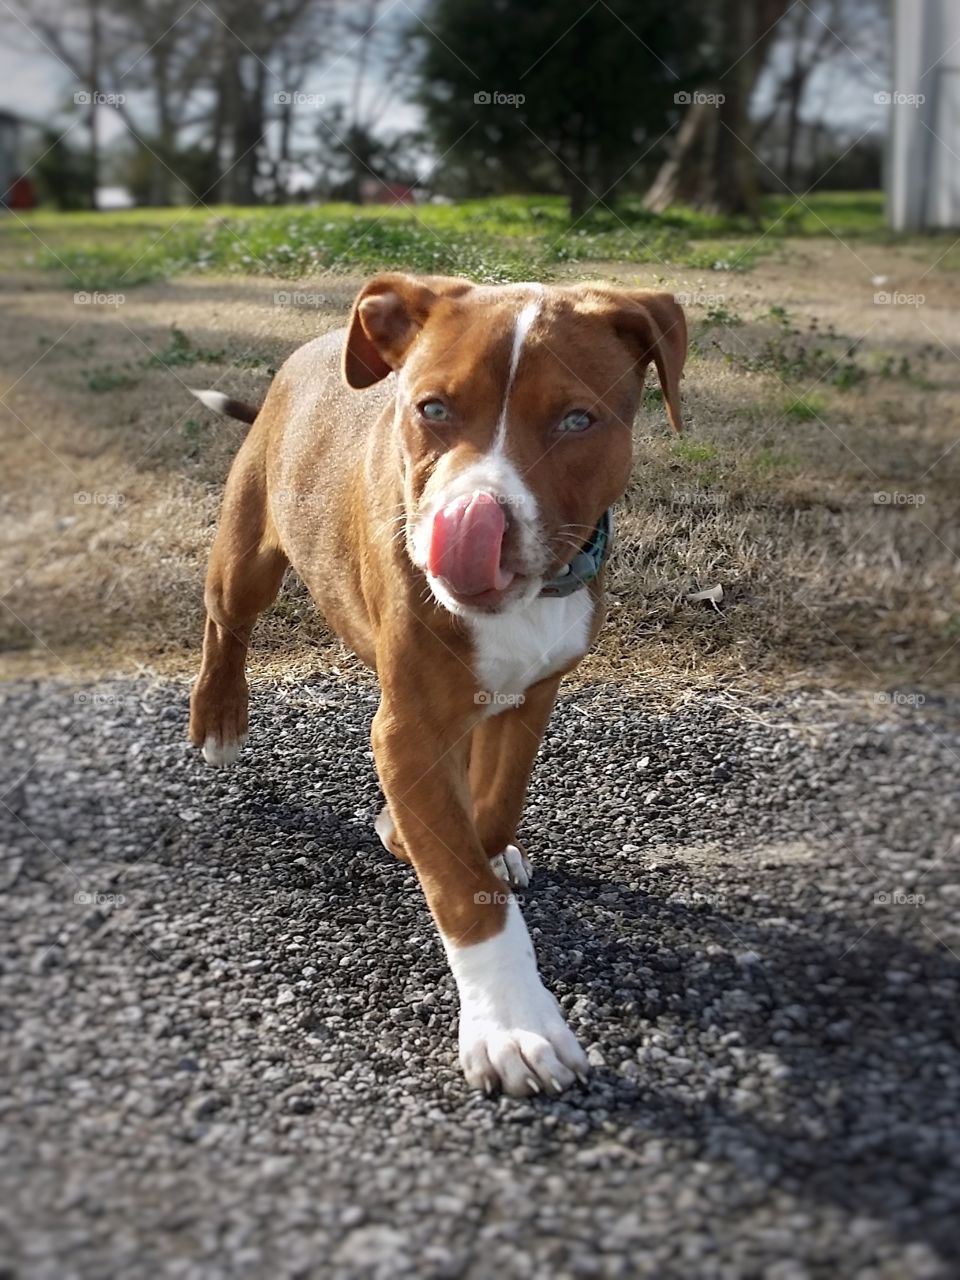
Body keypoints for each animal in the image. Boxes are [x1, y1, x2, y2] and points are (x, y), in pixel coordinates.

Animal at [188, 275, 686, 1095]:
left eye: (578, 420)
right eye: (432, 409)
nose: (471, 521)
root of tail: (311, 349)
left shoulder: (535, 695)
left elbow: (494, 801)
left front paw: (457, 838)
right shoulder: (409, 727)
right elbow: (460, 880)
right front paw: (513, 1025)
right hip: (248, 550)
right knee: (225, 622)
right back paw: (220, 720)